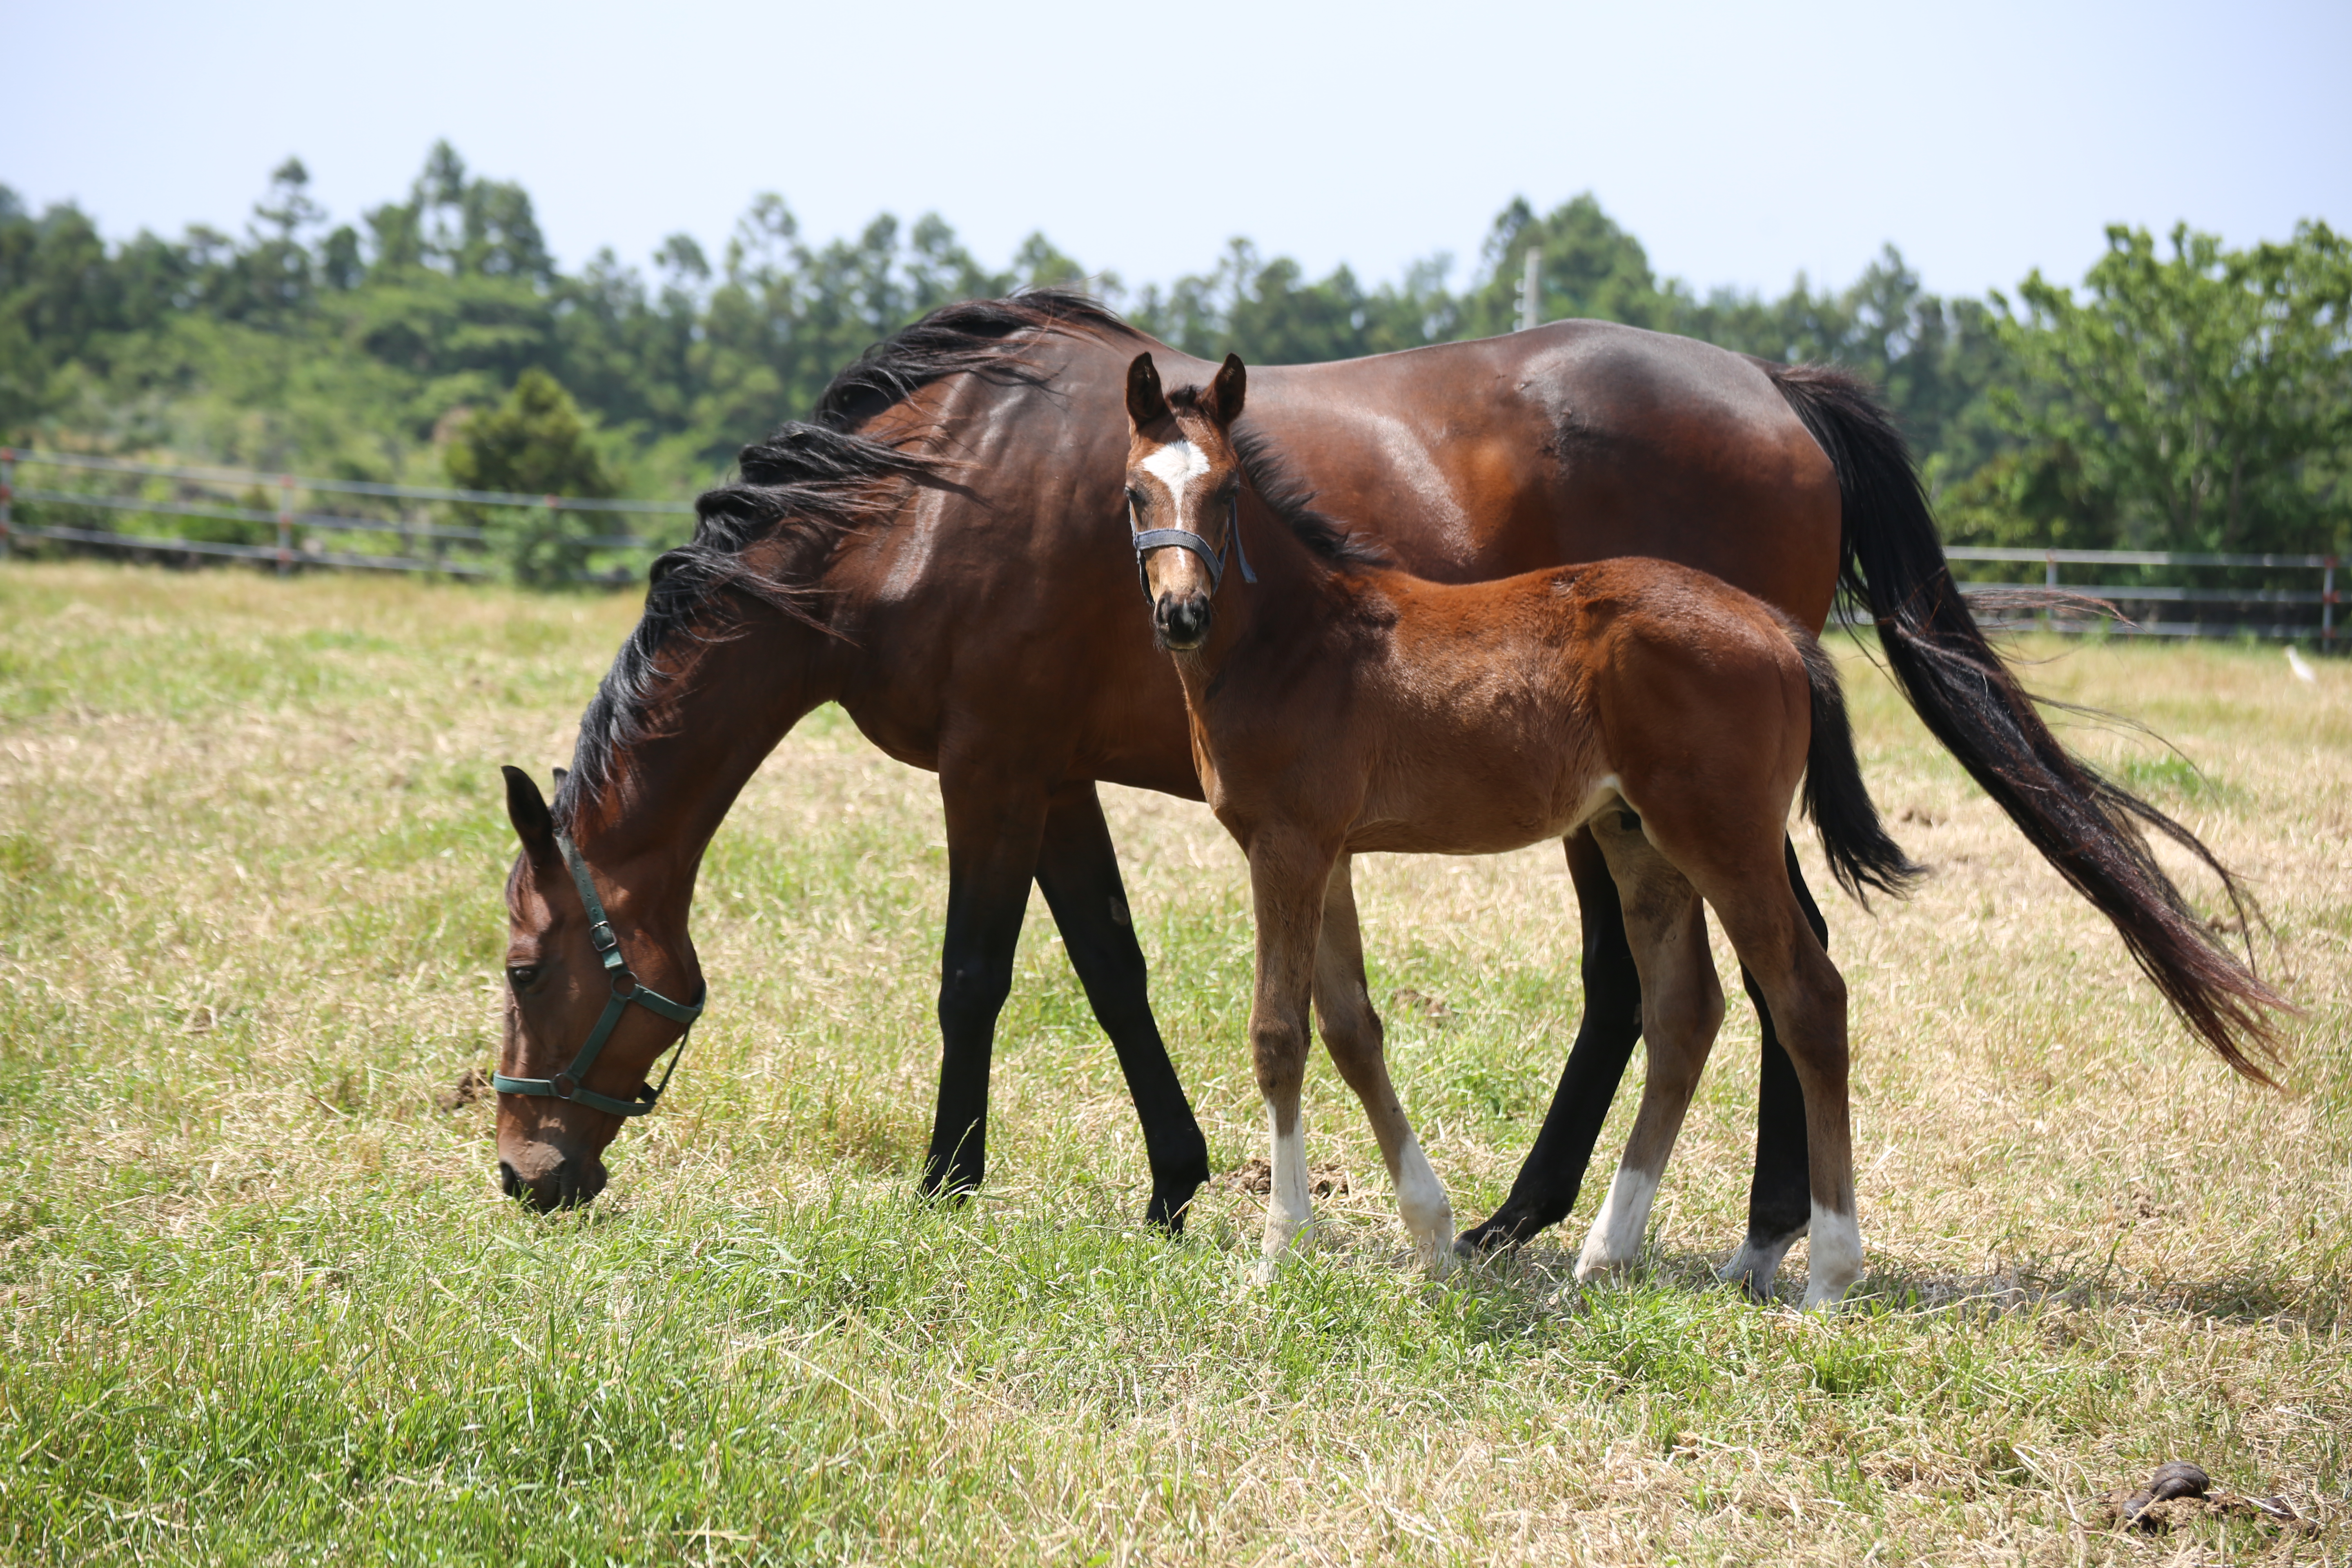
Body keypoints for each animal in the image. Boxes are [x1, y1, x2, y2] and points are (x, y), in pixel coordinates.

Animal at [496, 291, 2276, 1288]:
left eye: (526, 966)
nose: (525, 1174)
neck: (927, 493)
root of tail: (1781, 389)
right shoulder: (1062, 777)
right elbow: (1118, 971)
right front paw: (1178, 1180)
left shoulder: (994, 770)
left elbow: (978, 976)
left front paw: (950, 1180)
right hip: (1635, 814)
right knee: (1697, 988)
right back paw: (1585, 1224)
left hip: (1671, 811)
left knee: (1750, 982)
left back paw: (1743, 1231)